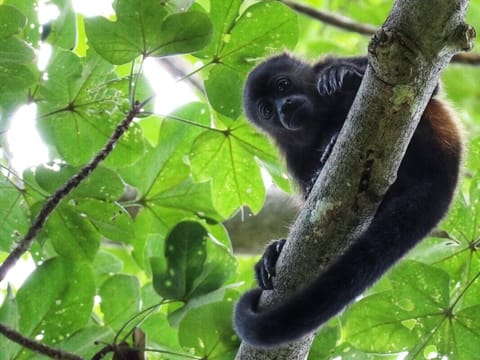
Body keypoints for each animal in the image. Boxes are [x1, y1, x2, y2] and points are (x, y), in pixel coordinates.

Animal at [234, 53, 464, 346]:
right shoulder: (293, 154)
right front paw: (277, 248)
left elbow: (429, 89)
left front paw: (338, 74)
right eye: (266, 111)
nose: (283, 107)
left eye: (283, 85)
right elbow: (309, 198)